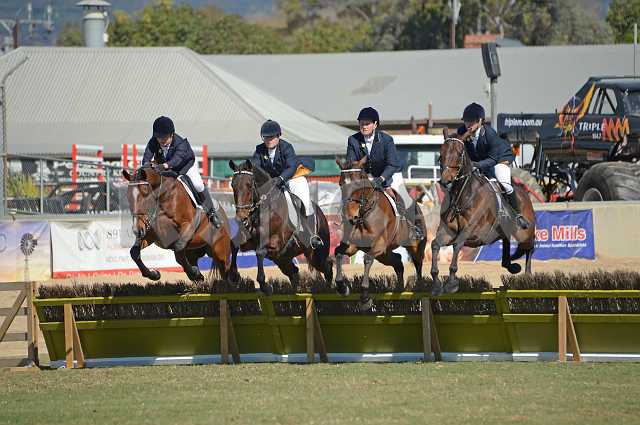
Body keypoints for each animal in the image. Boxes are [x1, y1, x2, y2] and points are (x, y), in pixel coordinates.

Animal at [228, 160, 333, 295]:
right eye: (232, 185)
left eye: (249, 185)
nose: (242, 218)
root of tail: (322, 215)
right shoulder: (250, 242)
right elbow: (234, 245)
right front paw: (234, 276)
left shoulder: (276, 244)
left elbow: (260, 252)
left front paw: (265, 286)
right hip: (283, 259)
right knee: (293, 272)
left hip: (316, 254)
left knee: (327, 267)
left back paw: (337, 289)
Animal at [335, 157, 428, 310]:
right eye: (341, 184)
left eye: (358, 185)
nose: (350, 217)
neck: (365, 213)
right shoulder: (353, 246)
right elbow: (338, 253)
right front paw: (342, 287)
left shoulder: (379, 244)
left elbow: (367, 259)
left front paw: (365, 298)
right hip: (384, 255)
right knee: (398, 262)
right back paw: (398, 292)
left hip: (414, 247)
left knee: (418, 265)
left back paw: (419, 294)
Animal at [430, 132, 536, 296]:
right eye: (441, 155)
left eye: (459, 154)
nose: (445, 181)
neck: (463, 197)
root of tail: (524, 192)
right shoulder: (447, 232)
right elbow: (435, 244)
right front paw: (436, 283)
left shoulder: (475, 233)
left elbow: (457, 244)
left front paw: (452, 283)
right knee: (507, 249)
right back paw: (512, 266)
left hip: (524, 233)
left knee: (530, 247)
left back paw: (528, 275)